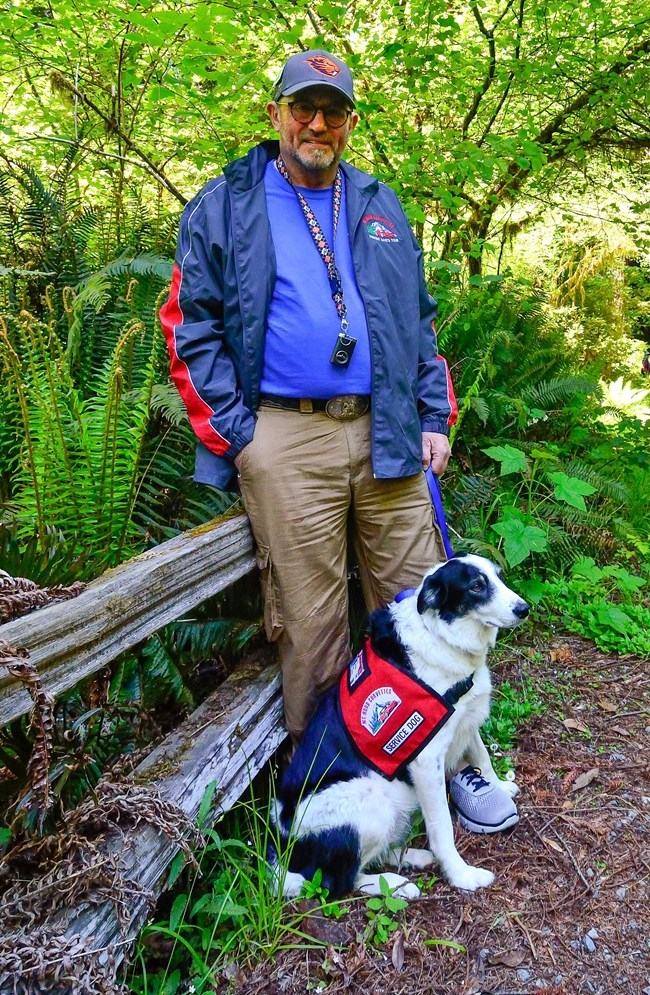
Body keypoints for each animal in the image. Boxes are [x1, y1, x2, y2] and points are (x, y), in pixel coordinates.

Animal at [268, 556, 528, 900]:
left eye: (499, 577)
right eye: (476, 586)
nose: (524, 608)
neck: (441, 636)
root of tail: (283, 847)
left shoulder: (464, 719)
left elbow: (481, 757)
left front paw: (497, 785)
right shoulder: (426, 759)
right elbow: (441, 827)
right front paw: (461, 874)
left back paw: (412, 857)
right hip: (369, 797)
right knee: (336, 882)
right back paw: (394, 884)